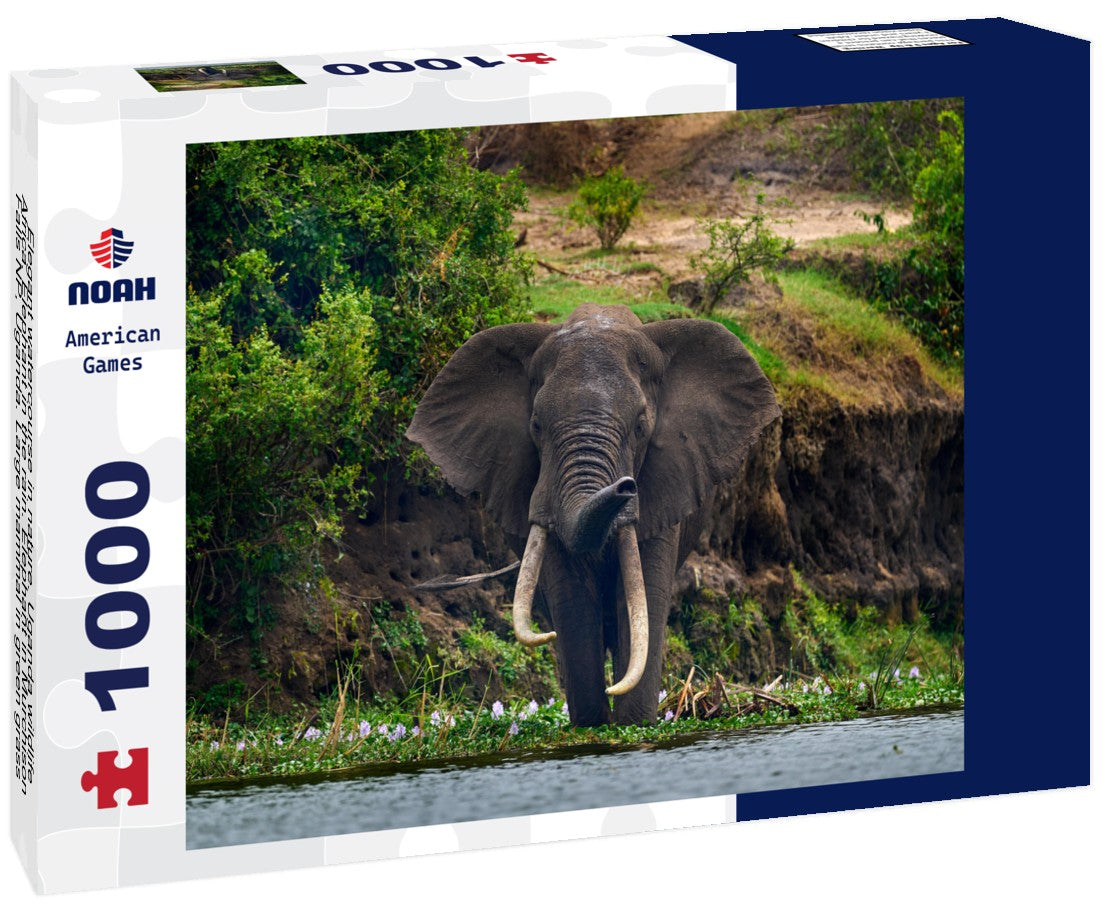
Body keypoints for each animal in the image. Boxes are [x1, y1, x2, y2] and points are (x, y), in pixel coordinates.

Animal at [407, 304, 780, 726]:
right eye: (536, 425)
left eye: (640, 427)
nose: (626, 486)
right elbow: (572, 597)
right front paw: (594, 724)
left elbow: (642, 593)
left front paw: (633, 724)